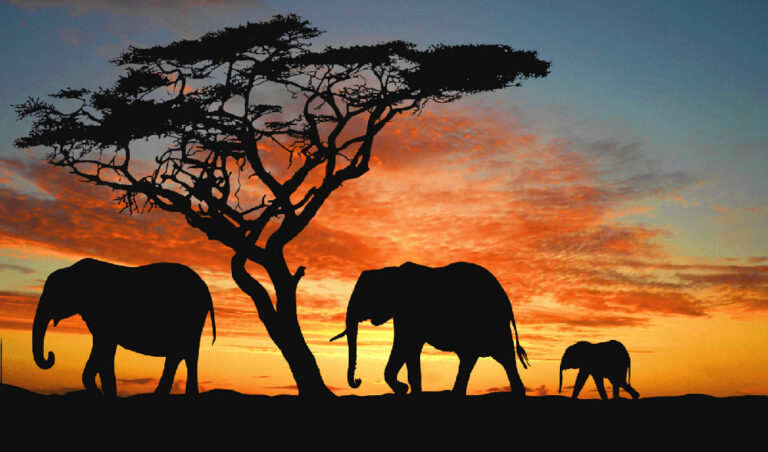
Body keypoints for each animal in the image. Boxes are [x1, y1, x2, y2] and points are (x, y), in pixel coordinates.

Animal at [31, 258, 214, 396]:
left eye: (54, 295)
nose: (51, 356)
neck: (72, 270)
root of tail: (206, 289)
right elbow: (103, 350)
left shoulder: (104, 316)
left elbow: (104, 348)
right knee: (183, 355)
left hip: (190, 319)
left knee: (183, 354)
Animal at [330, 262, 528, 396]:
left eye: (365, 296)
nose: (358, 380)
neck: (391, 271)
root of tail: (506, 299)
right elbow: (406, 349)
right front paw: (406, 390)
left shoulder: (409, 312)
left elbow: (405, 346)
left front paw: (405, 389)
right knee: (475, 358)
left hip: (492, 323)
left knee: (503, 357)